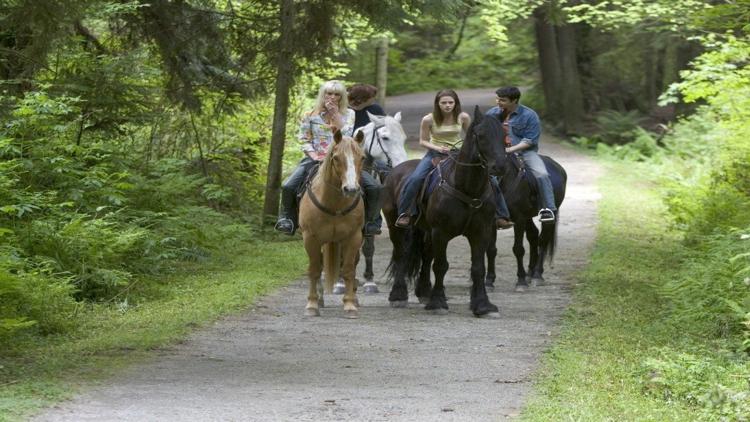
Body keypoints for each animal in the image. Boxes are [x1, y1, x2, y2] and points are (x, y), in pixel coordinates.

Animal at [302, 130, 368, 318]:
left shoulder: (353, 238)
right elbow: (314, 270)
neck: (334, 205)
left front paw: (350, 305)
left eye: (362, 157)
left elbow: (348, 270)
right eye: (336, 158)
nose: (351, 189)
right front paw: (312, 305)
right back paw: (319, 298)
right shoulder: (310, 238)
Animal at [332, 112, 408, 296]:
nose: (402, 165)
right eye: (385, 137)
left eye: (403, 138)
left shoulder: (369, 222)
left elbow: (368, 248)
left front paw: (369, 281)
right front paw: (339, 283)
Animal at [384, 107, 508, 318]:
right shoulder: (441, 233)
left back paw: (424, 292)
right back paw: (398, 296)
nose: (500, 166)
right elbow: (441, 265)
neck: (467, 189)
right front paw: (438, 302)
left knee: (426, 256)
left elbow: (478, 268)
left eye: (504, 136)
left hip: (425, 230)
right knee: (401, 254)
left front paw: (483, 305)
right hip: (396, 226)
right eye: (481, 135)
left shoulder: (481, 232)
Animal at [484, 152, 568, 294]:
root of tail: (559, 168)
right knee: (533, 236)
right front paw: (489, 281)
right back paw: (530, 273)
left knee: (543, 240)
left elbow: (518, 249)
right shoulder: (491, 222)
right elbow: (491, 250)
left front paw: (521, 282)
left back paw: (537, 275)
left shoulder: (519, 220)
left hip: (549, 215)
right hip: (528, 217)